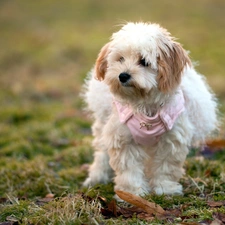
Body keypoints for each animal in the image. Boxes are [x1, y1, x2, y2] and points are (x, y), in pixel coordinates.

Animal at [82, 22, 218, 198]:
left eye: (144, 61)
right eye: (120, 59)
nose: (123, 76)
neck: (145, 104)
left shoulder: (171, 139)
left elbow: (166, 167)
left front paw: (165, 189)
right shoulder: (123, 137)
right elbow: (129, 169)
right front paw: (132, 193)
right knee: (102, 153)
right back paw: (97, 176)